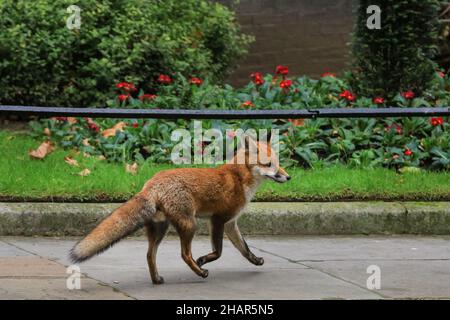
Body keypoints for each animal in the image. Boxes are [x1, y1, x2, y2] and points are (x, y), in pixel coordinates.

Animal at [68, 134, 290, 284]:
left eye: (278, 163)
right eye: (269, 164)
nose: (288, 177)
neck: (239, 177)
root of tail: (151, 183)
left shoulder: (230, 223)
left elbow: (244, 248)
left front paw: (256, 261)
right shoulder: (217, 219)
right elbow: (218, 252)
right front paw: (203, 260)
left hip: (161, 229)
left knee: (149, 255)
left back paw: (157, 279)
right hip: (189, 224)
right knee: (184, 254)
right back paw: (199, 271)